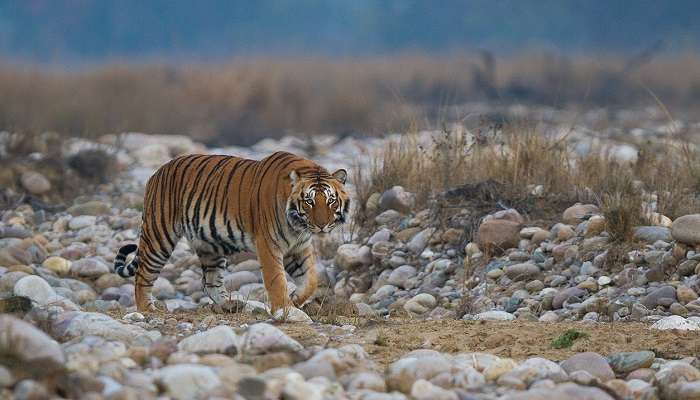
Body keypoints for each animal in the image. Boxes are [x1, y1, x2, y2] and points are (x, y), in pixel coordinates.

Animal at [114, 151, 350, 316]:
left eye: (330, 200)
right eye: (309, 201)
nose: (322, 225)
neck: (297, 226)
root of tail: (157, 172)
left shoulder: (298, 247)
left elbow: (310, 280)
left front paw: (295, 298)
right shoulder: (268, 244)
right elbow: (276, 279)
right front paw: (285, 309)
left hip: (209, 245)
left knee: (210, 282)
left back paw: (228, 305)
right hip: (159, 236)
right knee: (142, 275)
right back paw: (146, 309)